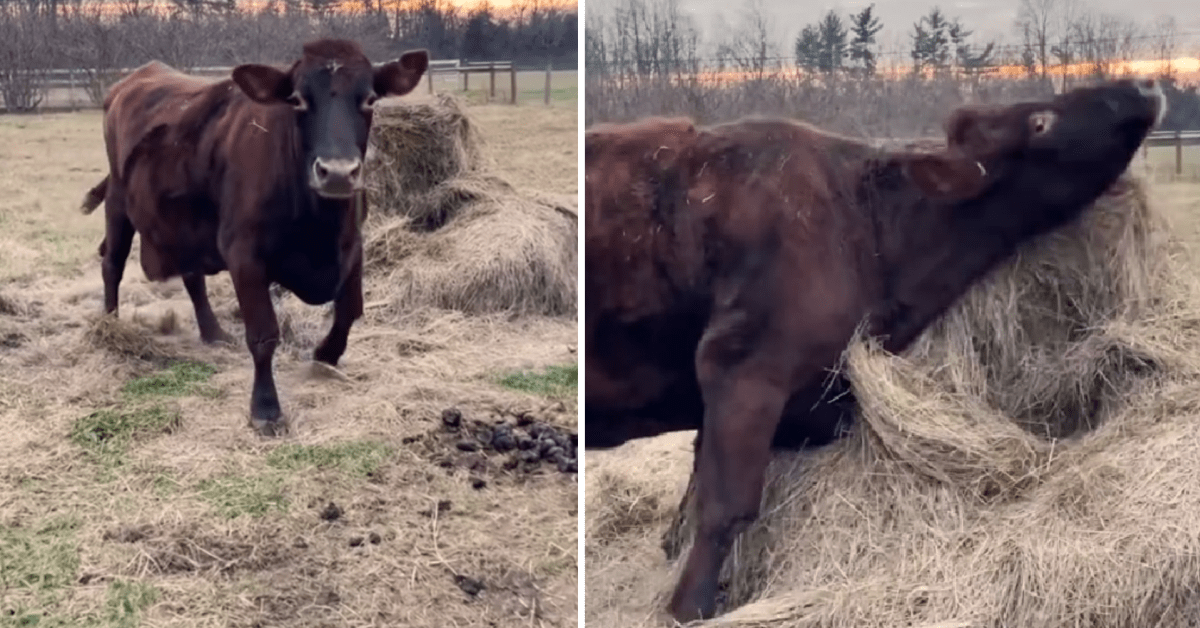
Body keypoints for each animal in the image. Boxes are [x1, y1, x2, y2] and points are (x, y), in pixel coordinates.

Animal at [79, 40, 429, 435]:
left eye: (369, 99)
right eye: (297, 100)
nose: (338, 173)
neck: (319, 227)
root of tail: (134, 78)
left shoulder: (353, 244)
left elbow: (350, 309)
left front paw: (326, 353)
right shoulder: (244, 255)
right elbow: (263, 334)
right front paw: (265, 407)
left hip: (186, 224)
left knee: (191, 276)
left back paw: (213, 332)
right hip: (118, 201)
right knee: (112, 264)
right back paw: (110, 326)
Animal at [584, 78, 1166, 622]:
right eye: (1040, 121)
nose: (1142, 86)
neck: (865, 219)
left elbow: (694, 501)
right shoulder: (744, 374)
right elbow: (724, 507)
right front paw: (688, 607)